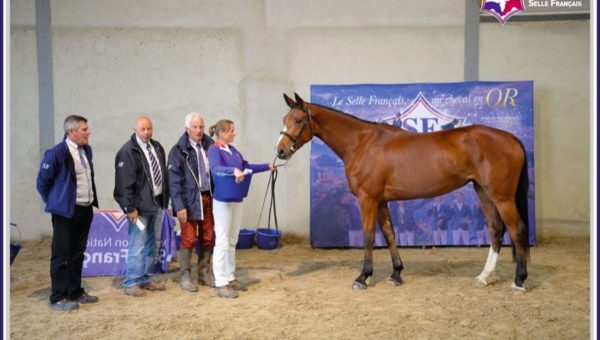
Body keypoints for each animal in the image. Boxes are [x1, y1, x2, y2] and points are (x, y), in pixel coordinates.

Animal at [276, 92, 528, 292]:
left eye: (298, 120)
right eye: (284, 119)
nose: (280, 151)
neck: (361, 143)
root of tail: (511, 138)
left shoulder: (367, 199)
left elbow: (368, 236)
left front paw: (363, 277)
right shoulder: (380, 201)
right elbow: (389, 234)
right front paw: (396, 273)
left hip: (502, 197)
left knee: (517, 230)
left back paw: (519, 281)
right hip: (484, 191)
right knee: (496, 230)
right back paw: (485, 276)